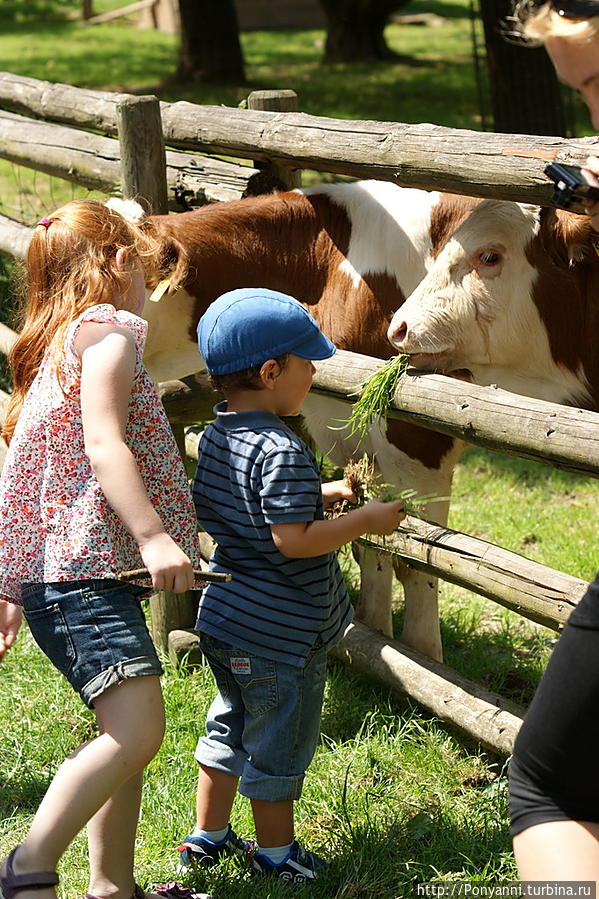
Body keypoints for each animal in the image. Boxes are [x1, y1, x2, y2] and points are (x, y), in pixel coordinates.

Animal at [139, 181, 478, 660]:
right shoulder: (351, 436)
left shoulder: (420, 438)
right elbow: (371, 547)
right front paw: (373, 641)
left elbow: (419, 562)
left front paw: (425, 654)